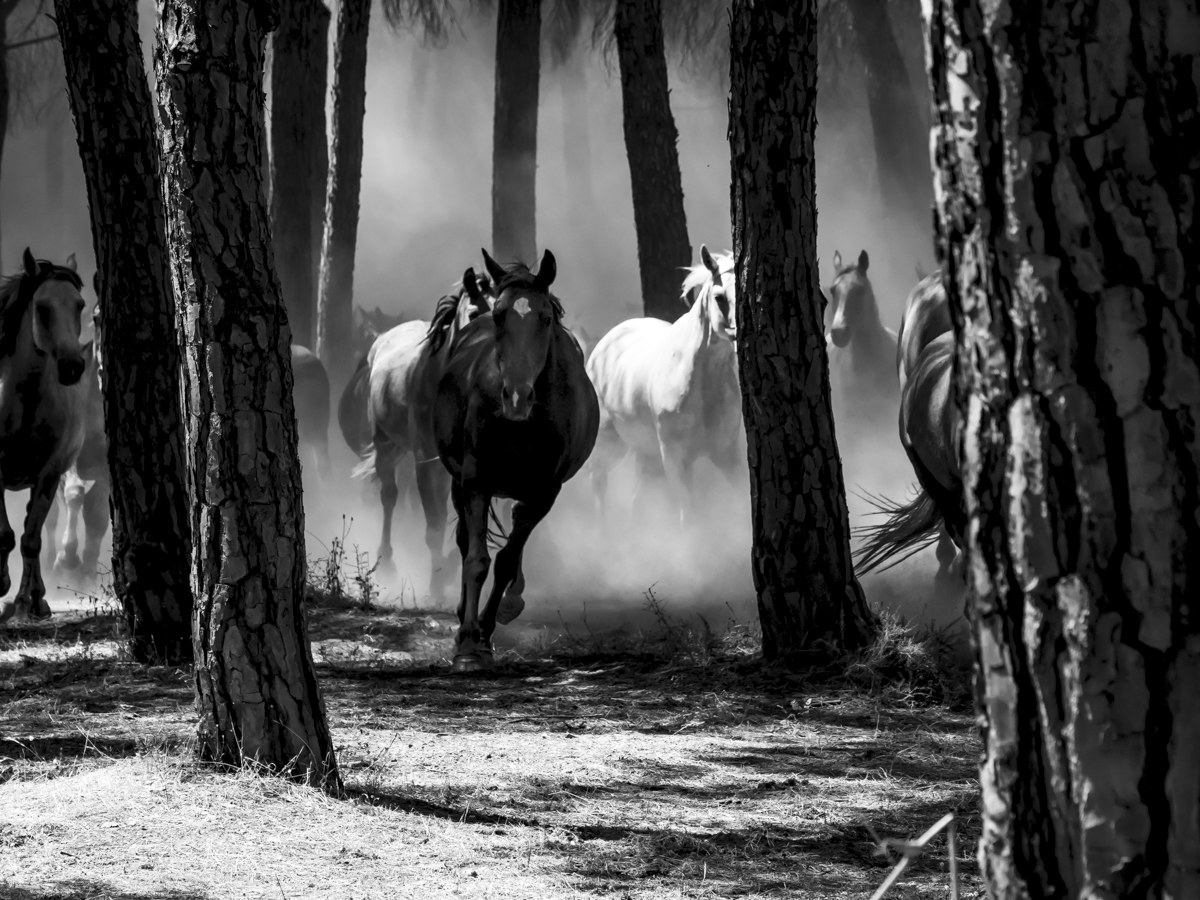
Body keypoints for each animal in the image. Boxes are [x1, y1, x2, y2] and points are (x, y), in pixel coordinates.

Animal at [354, 270, 495, 596]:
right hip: (385, 442)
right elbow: (434, 524)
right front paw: (436, 586)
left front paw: (448, 572)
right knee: (389, 496)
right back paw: (387, 563)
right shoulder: (426, 461)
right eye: (474, 314)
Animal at [432, 248, 598, 672]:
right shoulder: (476, 479)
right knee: (466, 542)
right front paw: (468, 643)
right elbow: (476, 559)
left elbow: (506, 561)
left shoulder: (545, 491)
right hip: (461, 480)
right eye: (500, 315)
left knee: (515, 539)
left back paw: (508, 604)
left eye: (544, 318)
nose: (517, 397)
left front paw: (487, 631)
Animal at [585, 245, 743, 524]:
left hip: (647, 455)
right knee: (599, 487)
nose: (738, 332)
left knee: (637, 501)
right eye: (719, 296)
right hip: (609, 445)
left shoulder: (727, 454)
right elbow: (689, 514)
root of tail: (603, 347)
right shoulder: (675, 458)